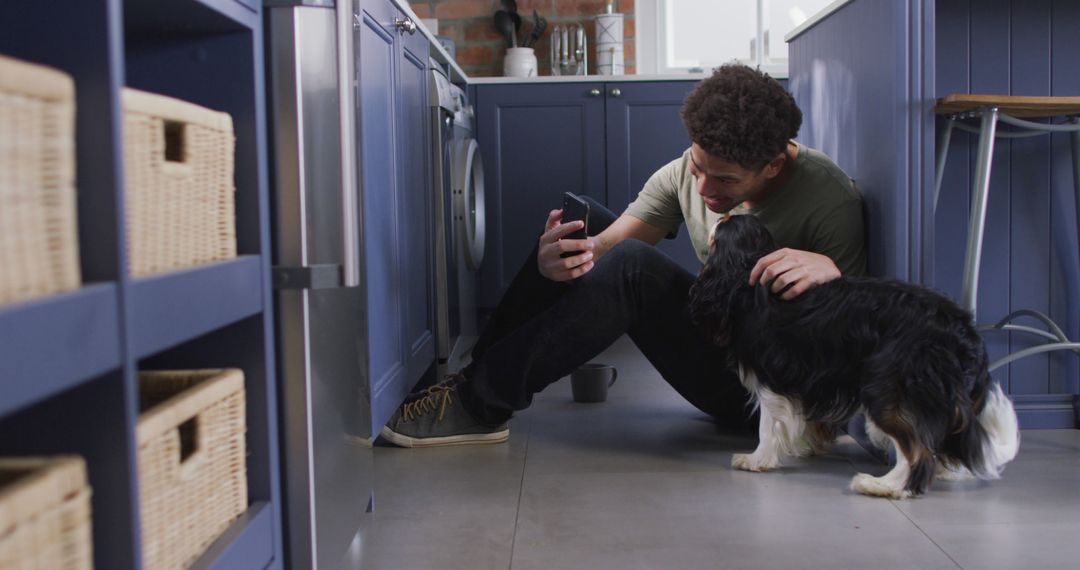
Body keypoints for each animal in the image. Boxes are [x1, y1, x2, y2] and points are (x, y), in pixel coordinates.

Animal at [686, 214, 1015, 498]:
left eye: (724, 224)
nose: (719, 214)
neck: (748, 271)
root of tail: (963, 328)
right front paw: (803, 446)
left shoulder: (771, 376)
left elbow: (768, 424)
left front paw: (756, 460)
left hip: (887, 388)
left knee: (917, 450)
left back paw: (885, 486)